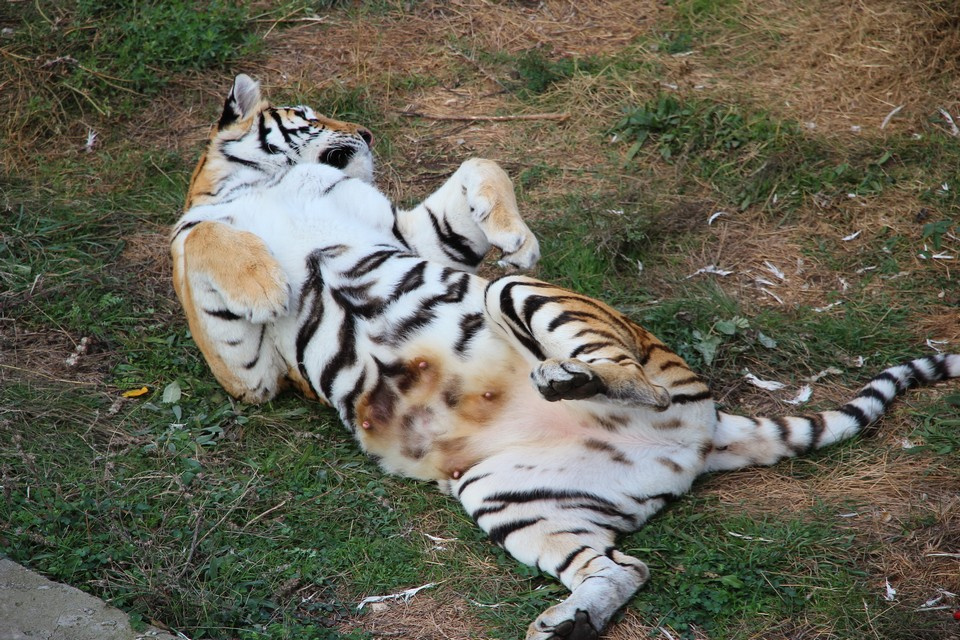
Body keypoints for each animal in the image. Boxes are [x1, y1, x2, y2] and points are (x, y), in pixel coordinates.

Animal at [170, 74, 960, 640]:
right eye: (310, 113)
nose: (364, 132)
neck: (270, 183)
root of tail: (710, 434)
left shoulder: (405, 231)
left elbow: (479, 162)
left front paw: (516, 235)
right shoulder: (252, 377)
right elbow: (201, 237)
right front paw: (266, 281)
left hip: (526, 311)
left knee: (632, 379)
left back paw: (570, 374)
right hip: (513, 497)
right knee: (624, 565)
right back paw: (569, 620)